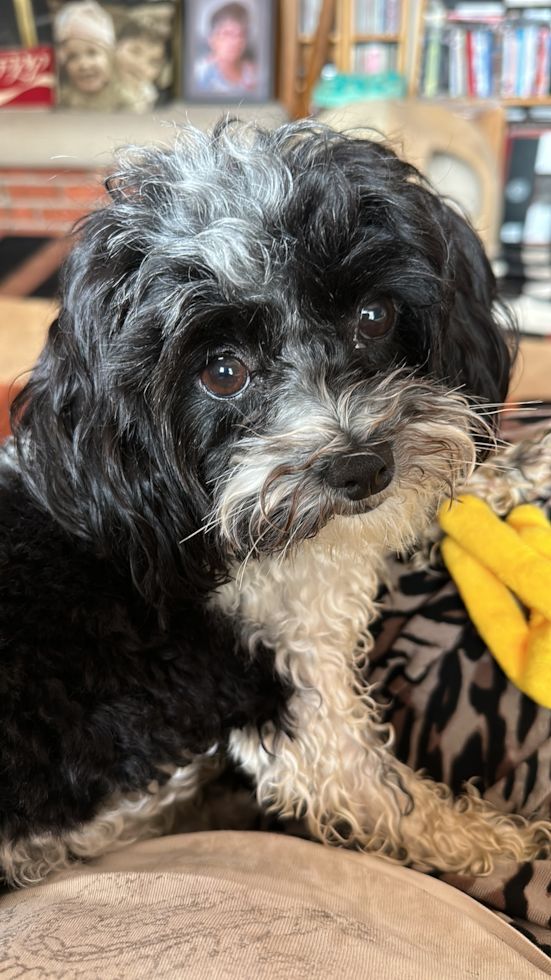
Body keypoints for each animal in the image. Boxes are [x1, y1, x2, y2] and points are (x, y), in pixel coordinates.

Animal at [1, 118, 551, 884]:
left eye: (374, 315)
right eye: (222, 372)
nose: (361, 468)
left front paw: (516, 469)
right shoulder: (297, 707)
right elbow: (389, 798)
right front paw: (498, 842)